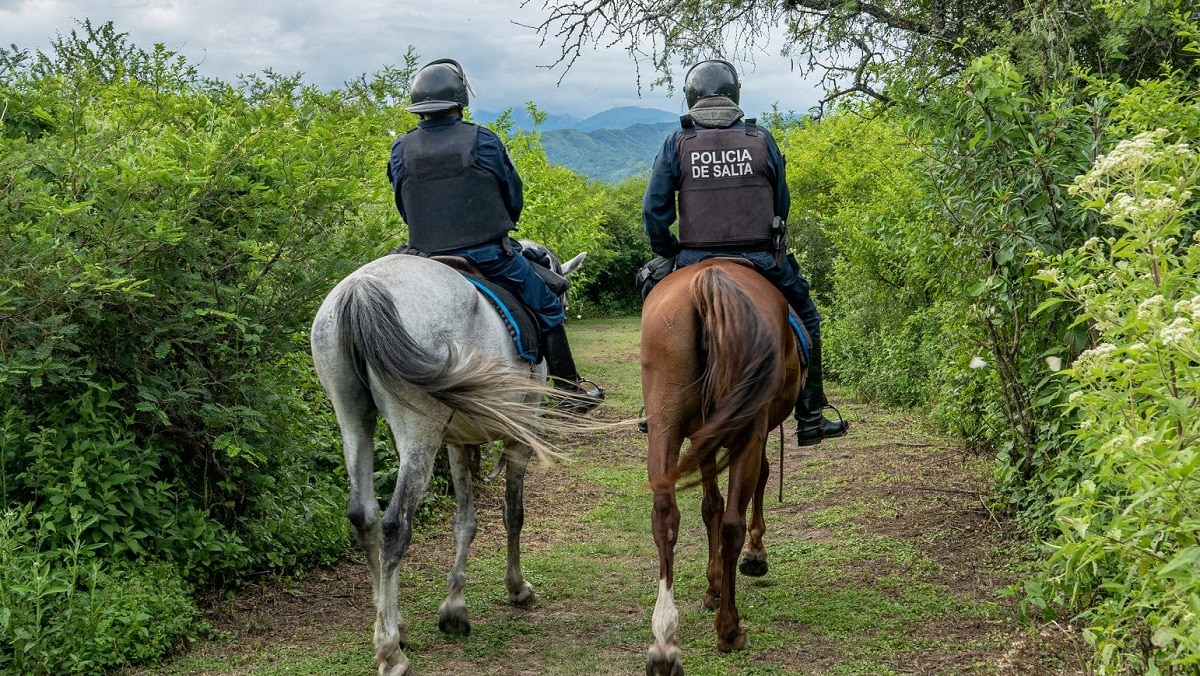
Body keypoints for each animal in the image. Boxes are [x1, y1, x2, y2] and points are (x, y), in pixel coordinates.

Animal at [312, 250, 588, 672]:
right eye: (563, 289)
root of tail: (361, 288)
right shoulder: (520, 433)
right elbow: (514, 514)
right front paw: (517, 586)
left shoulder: (458, 443)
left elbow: (466, 522)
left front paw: (455, 607)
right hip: (418, 431)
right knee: (395, 526)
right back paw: (390, 651)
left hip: (352, 417)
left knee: (364, 515)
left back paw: (392, 623)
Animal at [643, 258, 801, 672]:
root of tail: (709, 277)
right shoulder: (755, 430)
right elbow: (758, 480)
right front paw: (755, 555)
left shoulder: (704, 436)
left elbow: (708, 506)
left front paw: (712, 585)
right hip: (747, 428)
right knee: (732, 522)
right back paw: (730, 629)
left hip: (665, 424)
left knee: (665, 516)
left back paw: (664, 642)